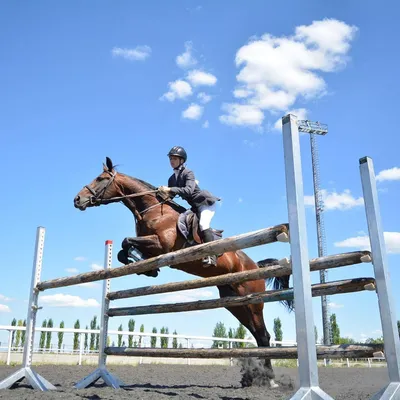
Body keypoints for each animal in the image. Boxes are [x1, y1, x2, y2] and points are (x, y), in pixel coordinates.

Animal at [72, 157, 290, 388]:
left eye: (100, 179)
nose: (77, 199)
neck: (152, 210)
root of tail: (255, 266)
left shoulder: (162, 246)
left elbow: (125, 241)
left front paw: (146, 265)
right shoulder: (151, 247)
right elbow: (124, 249)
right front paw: (147, 268)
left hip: (253, 300)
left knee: (264, 335)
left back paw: (270, 380)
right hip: (235, 303)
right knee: (257, 334)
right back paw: (256, 378)